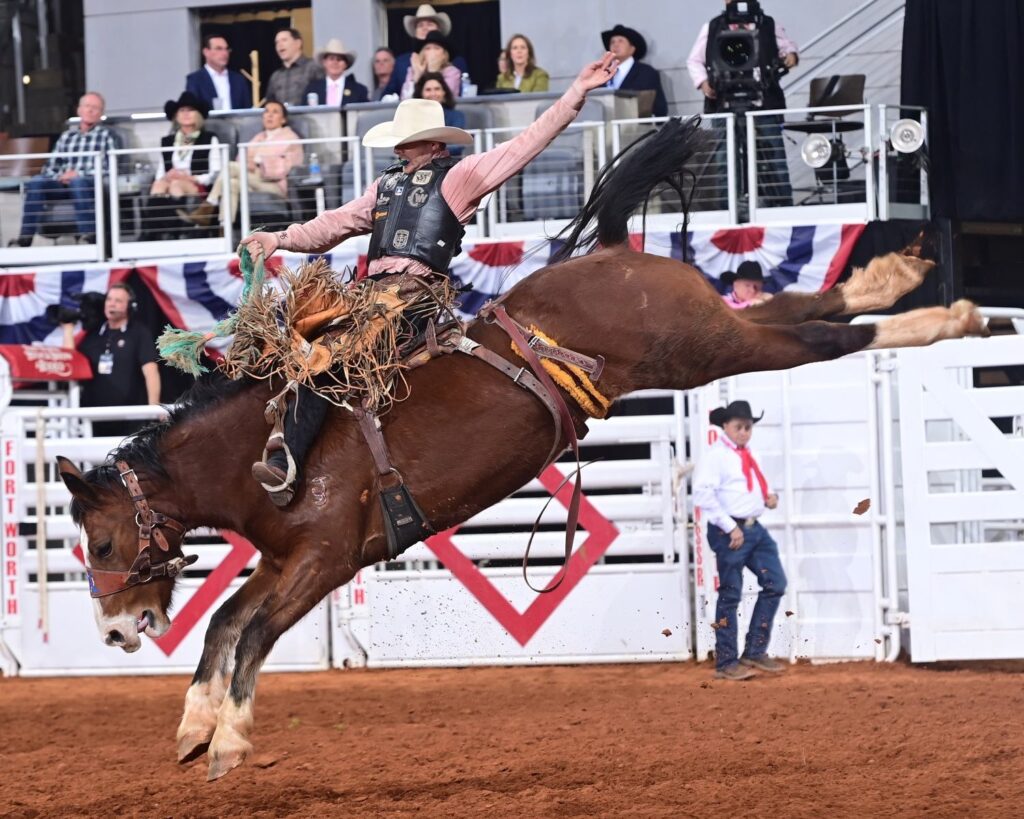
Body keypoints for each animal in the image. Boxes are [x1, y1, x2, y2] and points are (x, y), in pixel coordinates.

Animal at [56, 116, 983, 782]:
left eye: (98, 541)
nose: (116, 630)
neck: (274, 441)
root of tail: (612, 252)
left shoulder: (322, 560)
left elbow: (250, 634)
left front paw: (228, 742)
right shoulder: (287, 560)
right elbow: (223, 624)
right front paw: (193, 727)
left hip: (700, 349)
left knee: (818, 339)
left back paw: (947, 317)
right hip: (706, 328)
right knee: (800, 306)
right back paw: (897, 279)